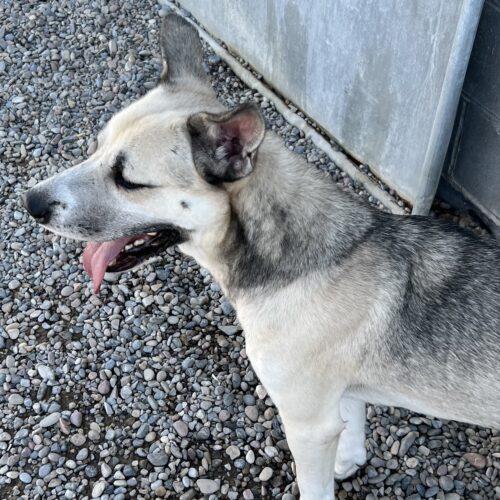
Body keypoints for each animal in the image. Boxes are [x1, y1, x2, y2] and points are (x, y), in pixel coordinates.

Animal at [23, 13, 500, 498]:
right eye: (93, 148)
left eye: (128, 180)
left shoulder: (307, 424)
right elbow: (352, 425)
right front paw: (348, 463)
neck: (294, 260)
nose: (30, 202)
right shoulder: (338, 396)